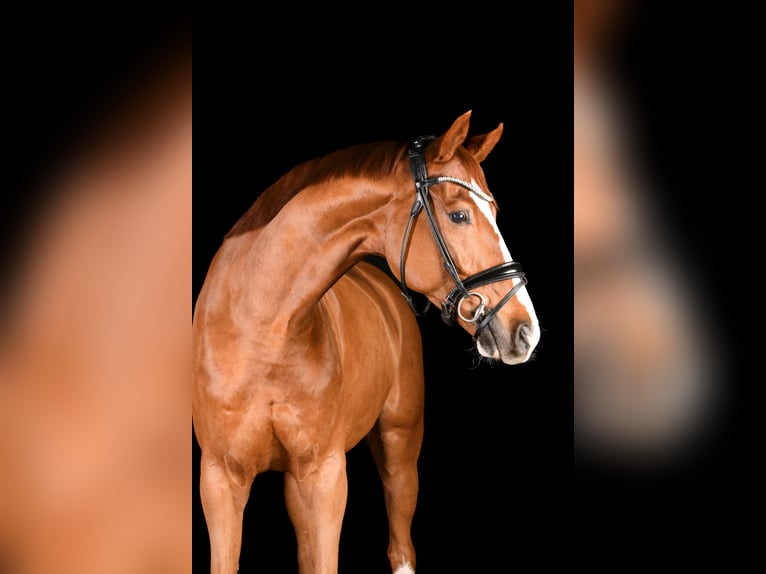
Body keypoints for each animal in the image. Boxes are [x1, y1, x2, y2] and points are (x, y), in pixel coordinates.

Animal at [192, 110, 540, 574]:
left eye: (496, 211)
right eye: (460, 216)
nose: (525, 329)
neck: (260, 329)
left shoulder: (325, 476)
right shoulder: (220, 480)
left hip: (399, 447)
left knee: (401, 548)